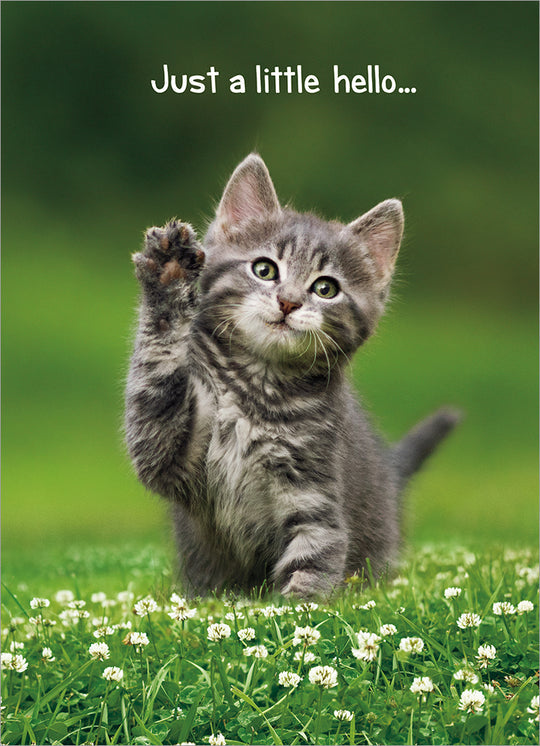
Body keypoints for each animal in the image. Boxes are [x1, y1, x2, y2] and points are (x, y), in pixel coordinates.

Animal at [124, 154, 458, 596]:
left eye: (325, 288)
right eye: (265, 269)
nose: (288, 301)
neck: (258, 384)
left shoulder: (314, 491)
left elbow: (313, 561)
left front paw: (293, 606)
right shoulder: (168, 453)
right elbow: (156, 379)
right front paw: (169, 274)